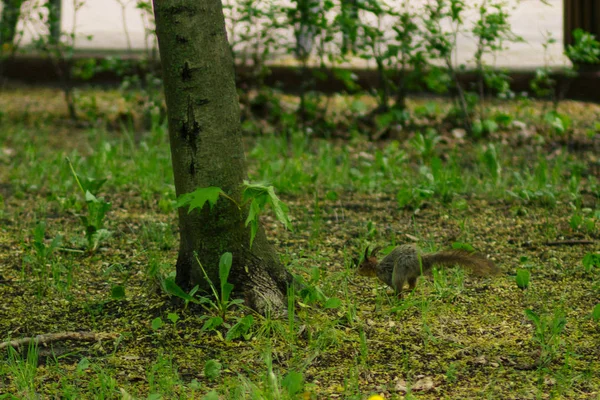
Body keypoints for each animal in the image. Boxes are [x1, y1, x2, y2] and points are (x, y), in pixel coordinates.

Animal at [356, 242, 496, 292]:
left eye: (361, 266)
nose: (356, 272)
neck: (377, 267)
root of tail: (423, 258)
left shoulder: (385, 275)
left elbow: (393, 284)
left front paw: (392, 291)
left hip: (402, 267)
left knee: (400, 284)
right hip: (413, 274)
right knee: (412, 285)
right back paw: (408, 289)